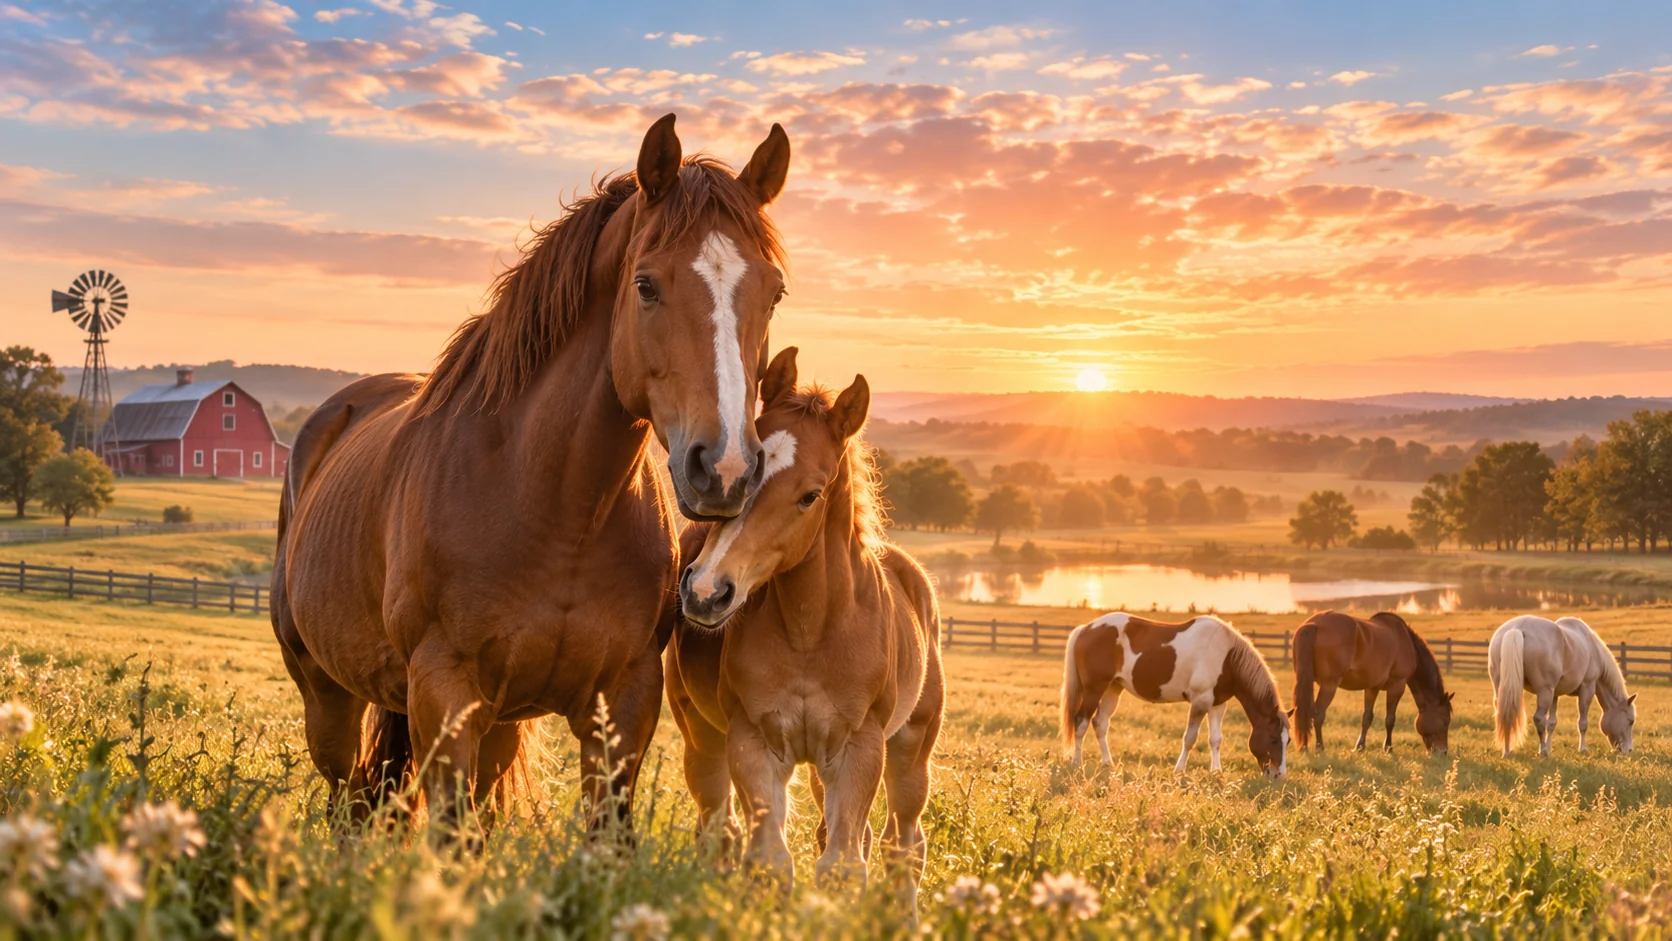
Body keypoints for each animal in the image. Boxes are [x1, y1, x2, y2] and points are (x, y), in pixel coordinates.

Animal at [270, 113, 794, 831]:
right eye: (646, 285)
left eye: (774, 292)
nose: (726, 468)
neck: (556, 508)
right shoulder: (445, 694)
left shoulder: (625, 702)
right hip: (329, 699)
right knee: (348, 798)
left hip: (497, 725)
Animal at [666, 347, 944, 909]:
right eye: (747, 471)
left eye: (810, 495)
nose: (706, 590)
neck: (810, 632)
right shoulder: (752, 741)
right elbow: (771, 861)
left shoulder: (860, 748)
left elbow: (842, 867)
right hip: (703, 737)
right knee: (720, 826)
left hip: (910, 751)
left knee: (904, 843)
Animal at [1060, 613, 1291, 776]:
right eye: (1272, 739)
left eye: (1287, 741)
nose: (1278, 775)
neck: (1227, 656)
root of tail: (1086, 629)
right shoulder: (1200, 701)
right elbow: (1189, 738)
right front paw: (1179, 770)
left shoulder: (1217, 704)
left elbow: (1215, 739)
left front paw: (1216, 771)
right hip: (1094, 689)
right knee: (1080, 722)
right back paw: (1077, 763)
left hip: (1113, 689)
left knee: (1100, 723)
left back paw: (1108, 763)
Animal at [1291, 610, 1454, 755]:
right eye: (1445, 721)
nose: (1443, 752)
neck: (1405, 641)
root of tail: (1314, 624)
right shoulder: (1397, 686)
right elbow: (1390, 719)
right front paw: (1388, 748)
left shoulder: (1372, 687)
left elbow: (1367, 717)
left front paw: (1359, 747)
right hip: (1329, 685)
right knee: (1318, 714)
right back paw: (1320, 748)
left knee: (1304, 711)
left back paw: (1304, 747)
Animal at [1490, 615, 1637, 757]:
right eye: (1631, 721)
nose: (1628, 750)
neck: (1593, 648)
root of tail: (1517, 628)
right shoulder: (1587, 688)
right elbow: (1583, 723)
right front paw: (1582, 749)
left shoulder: (1555, 694)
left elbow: (1551, 723)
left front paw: (1548, 747)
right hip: (1544, 692)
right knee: (1539, 718)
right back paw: (1542, 753)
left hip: (1506, 690)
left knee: (1505, 713)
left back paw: (1507, 751)